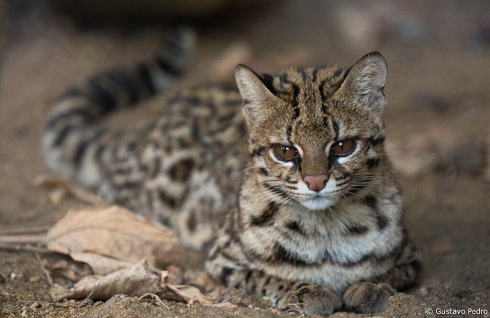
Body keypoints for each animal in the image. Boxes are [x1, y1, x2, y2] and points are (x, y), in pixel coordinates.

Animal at [44, 28, 424, 316]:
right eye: (285, 151)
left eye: (343, 146)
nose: (316, 182)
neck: (326, 228)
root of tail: (147, 129)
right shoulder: (222, 258)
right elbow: (267, 277)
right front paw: (306, 290)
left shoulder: (411, 256)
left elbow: (393, 274)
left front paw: (371, 286)